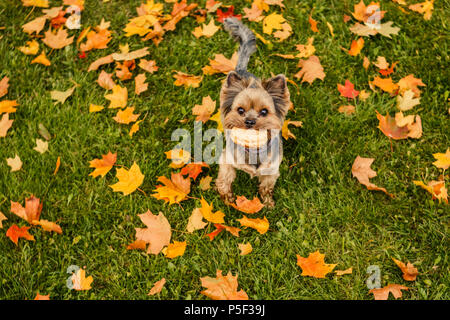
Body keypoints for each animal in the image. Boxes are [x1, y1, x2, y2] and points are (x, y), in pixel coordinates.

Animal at [215, 18, 292, 208]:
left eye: (264, 112)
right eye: (240, 110)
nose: (249, 121)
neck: (253, 149)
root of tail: (243, 71)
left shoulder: (271, 169)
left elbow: (266, 186)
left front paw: (268, 202)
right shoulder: (227, 160)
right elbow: (225, 179)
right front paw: (227, 198)